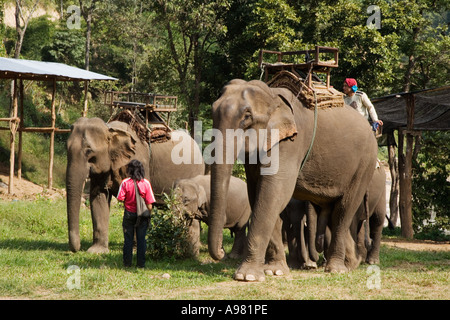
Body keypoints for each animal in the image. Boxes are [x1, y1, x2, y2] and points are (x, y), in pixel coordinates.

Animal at [66, 116, 205, 254]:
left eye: (89, 151)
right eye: (66, 148)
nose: (76, 250)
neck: (110, 129)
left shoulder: (139, 162)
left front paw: (135, 248)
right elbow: (98, 197)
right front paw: (97, 251)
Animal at [209, 79, 378, 280]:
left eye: (247, 116)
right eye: (212, 110)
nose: (221, 252)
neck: (272, 95)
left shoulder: (291, 143)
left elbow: (274, 193)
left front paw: (247, 276)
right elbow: (258, 193)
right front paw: (274, 271)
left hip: (364, 166)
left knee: (343, 210)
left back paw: (336, 269)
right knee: (332, 211)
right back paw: (351, 265)